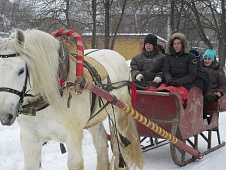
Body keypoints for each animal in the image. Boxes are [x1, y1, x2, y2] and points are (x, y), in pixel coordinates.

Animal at [0, 28, 143, 169]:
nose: (4, 115)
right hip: (93, 118)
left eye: (21, 70)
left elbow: (75, 163)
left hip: (120, 114)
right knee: (101, 141)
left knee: (122, 144)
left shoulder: (73, 136)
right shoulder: (29, 139)